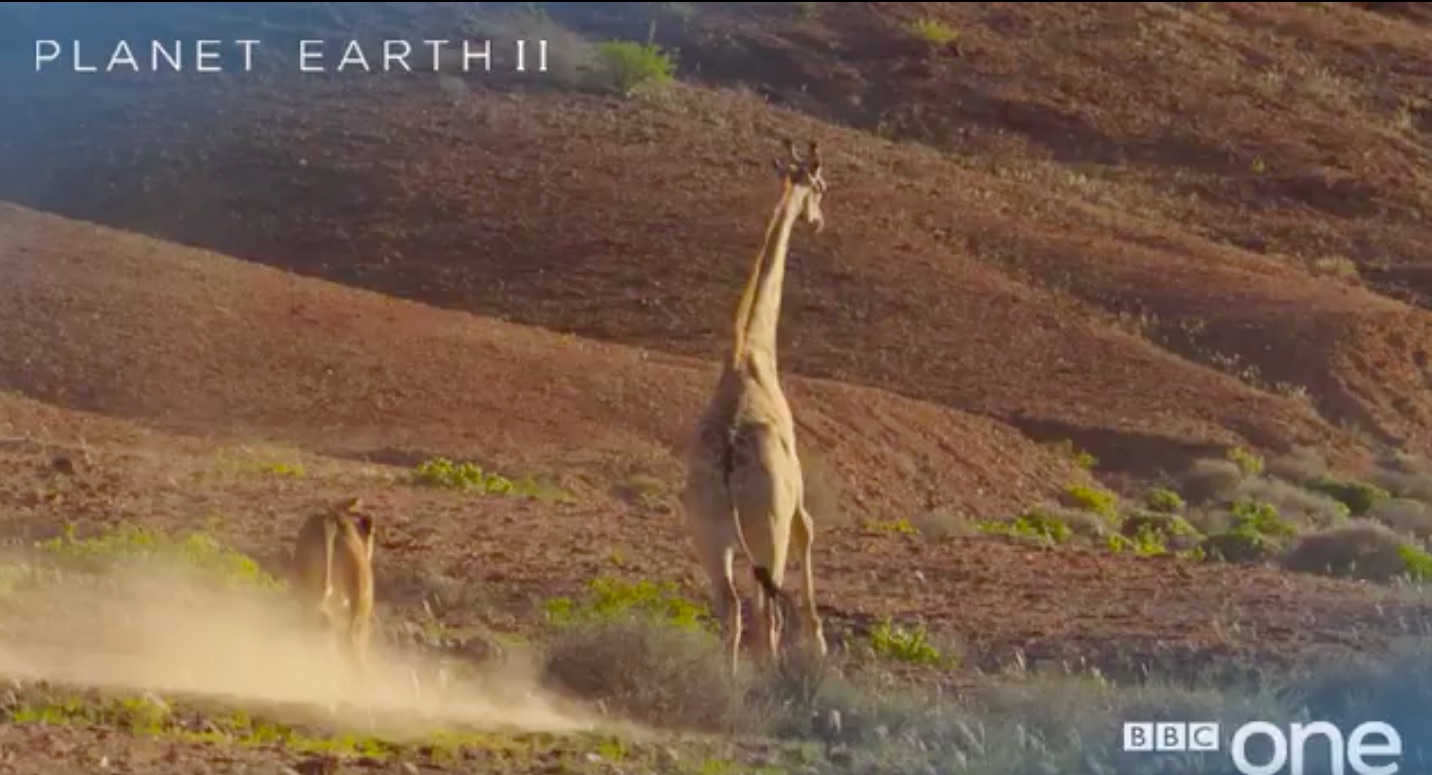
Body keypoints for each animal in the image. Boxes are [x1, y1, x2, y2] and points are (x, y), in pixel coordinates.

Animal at [678, 138, 830, 676]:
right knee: (765, 613)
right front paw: (819, 644)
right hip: (767, 530)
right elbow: (810, 532)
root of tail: (726, 468)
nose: (818, 220)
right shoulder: (796, 501)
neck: (751, 356)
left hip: (709, 534)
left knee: (732, 610)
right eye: (821, 186)